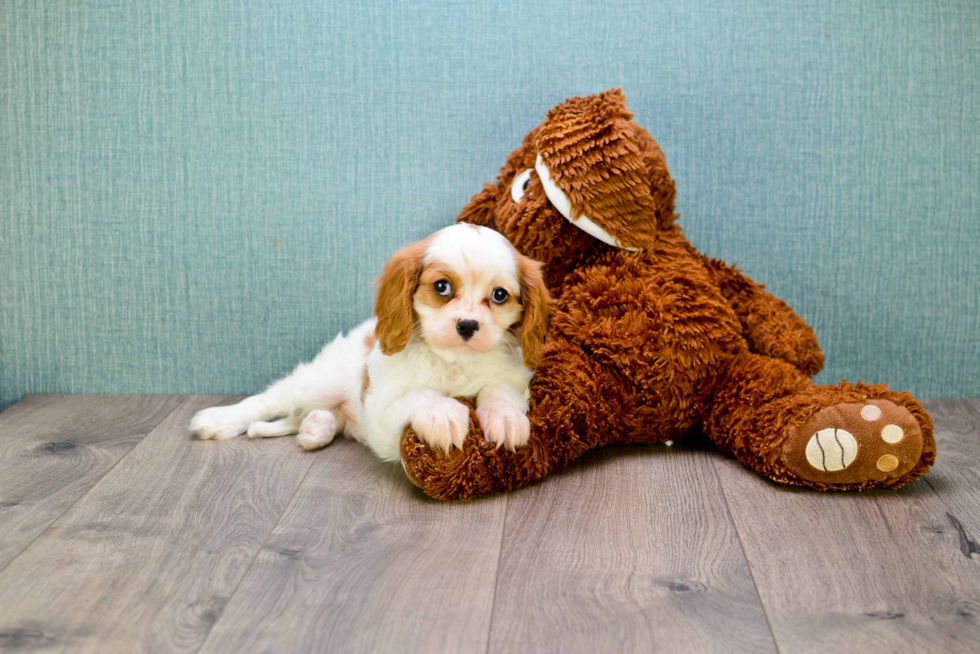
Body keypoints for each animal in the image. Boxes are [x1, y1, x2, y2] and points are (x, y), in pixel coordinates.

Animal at [188, 226, 548, 462]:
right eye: (442, 287)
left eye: (499, 295)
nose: (468, 325)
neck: (453, 361)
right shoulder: (381, 411)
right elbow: (422, 394)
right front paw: (444, 414)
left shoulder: (513, 377)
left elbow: (498, 390)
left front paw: (506, 419)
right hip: (319, 381)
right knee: (267, 400)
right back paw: (216, 421)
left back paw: (315, 427)